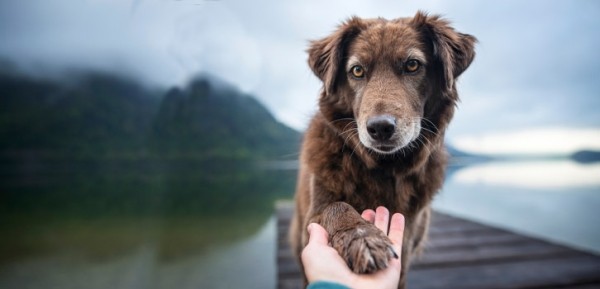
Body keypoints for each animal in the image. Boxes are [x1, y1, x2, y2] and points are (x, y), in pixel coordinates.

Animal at [288, 10, 476, 286]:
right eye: (357, 70)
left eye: (412, 65)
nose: (380, 128)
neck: (384, 169)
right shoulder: (313, 217)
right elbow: (338, 207)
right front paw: (363, 238)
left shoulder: (408, 244)